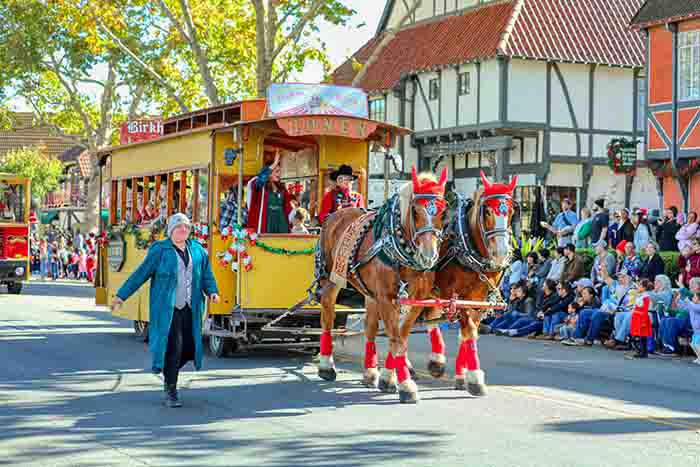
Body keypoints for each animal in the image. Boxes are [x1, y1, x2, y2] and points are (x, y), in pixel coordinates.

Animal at [318, 167, 448, 402]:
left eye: (443, 212)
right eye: (415, 211)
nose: (428, 256)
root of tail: (335, 216)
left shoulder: (416, 298)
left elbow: (401, 336)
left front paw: (388, 377)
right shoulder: (387, 299)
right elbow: (396, 339)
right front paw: (405, 384)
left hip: (369, 292)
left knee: (369, 327)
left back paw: (370, 373)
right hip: (331, 279)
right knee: (327, 315)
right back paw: (326, 365)